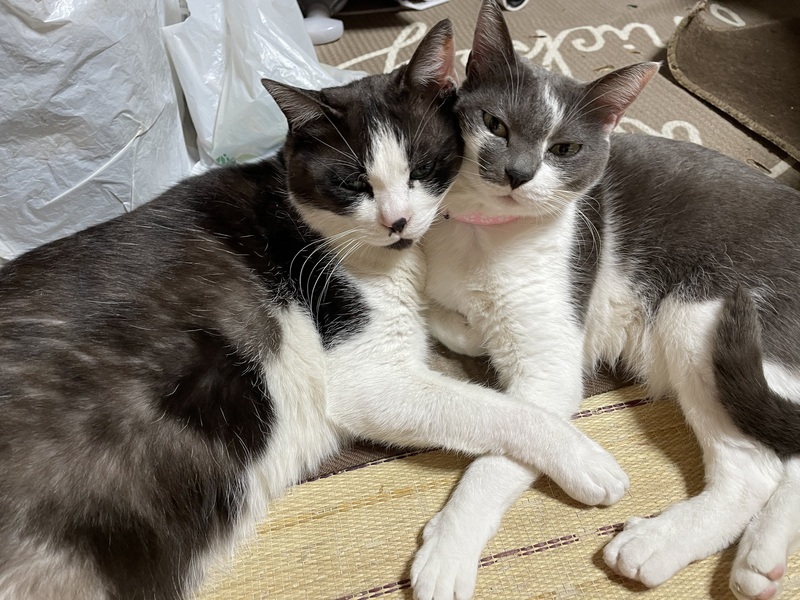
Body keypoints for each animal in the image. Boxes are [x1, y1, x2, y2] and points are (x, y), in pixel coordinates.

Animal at [0, 20, 629, 600]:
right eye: (352, 182)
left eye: (421, 168)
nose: (397, 221)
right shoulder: (369, 380)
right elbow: (500, 410)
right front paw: (583, 456)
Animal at [412, 2, 800, 600]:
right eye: (496, 125)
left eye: (565, 149)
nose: (519, 173)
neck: (483, 235)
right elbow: (447, 317)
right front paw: (470, 327)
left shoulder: (550, 371)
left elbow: (512, 438)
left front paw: (449, 549)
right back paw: (759, 560)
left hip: (701, 317)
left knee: (755, 469)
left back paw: (657, 545)